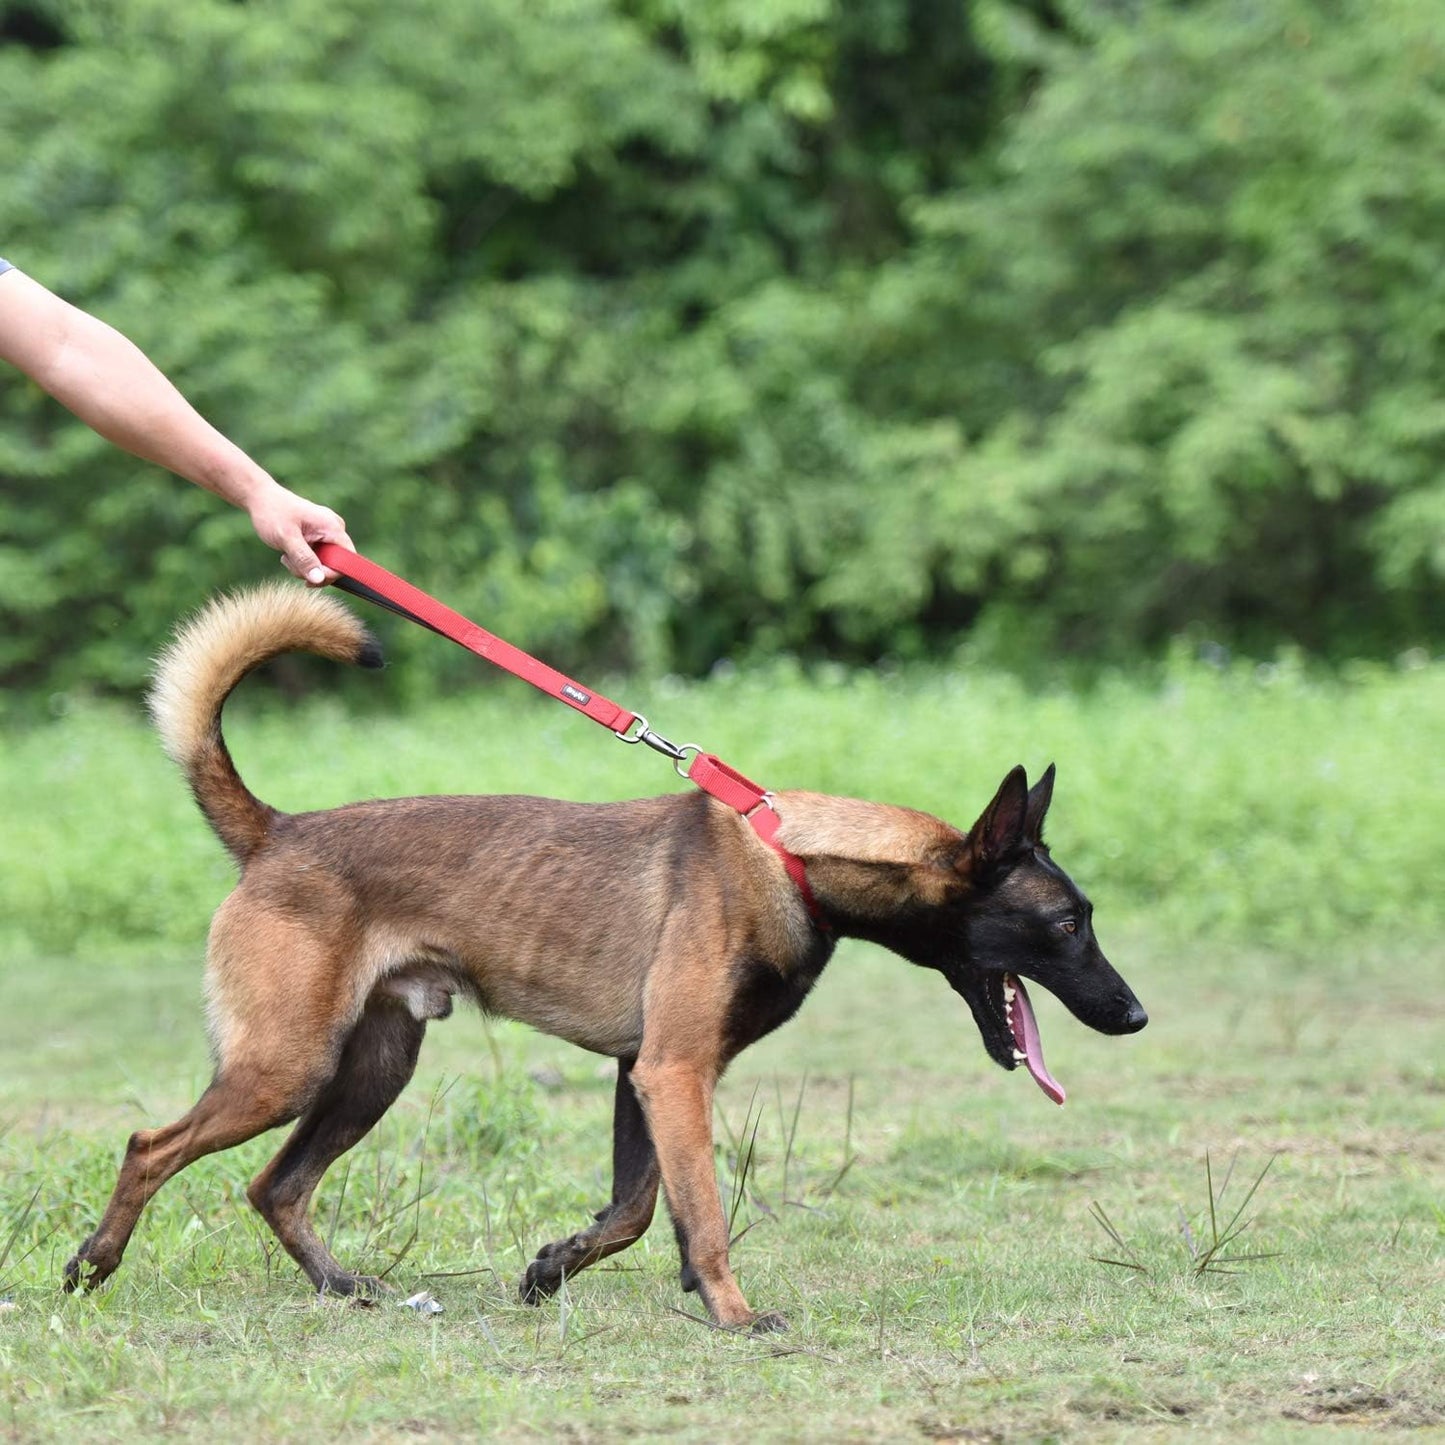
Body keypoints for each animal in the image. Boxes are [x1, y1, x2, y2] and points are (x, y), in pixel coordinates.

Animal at [65, 583, 1150, 1329]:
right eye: (1066, 923)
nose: (1134, 1015)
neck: (792, 854)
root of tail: (278, 830)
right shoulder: (673, 1072)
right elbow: (698, 1210)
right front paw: (733, 1313)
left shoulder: (642, 1072)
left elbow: (634, 1209)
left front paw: (554, 1265)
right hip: (285, 1066)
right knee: (151, 1145)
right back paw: (93, 1264)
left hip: (369, 1068)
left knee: (275, 1185)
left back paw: (341, 1283)